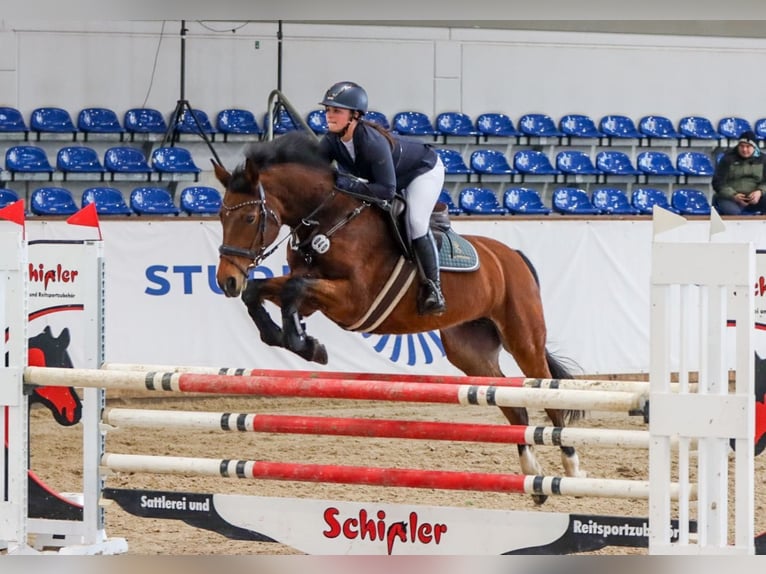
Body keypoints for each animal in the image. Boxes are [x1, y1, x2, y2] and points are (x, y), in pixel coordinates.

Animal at [212, 131, 584, 504]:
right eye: (220, 215)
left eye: (249, 219)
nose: (226, 280)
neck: (330, 218)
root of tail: (512, 256)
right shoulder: (313, 297)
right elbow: (262, 292)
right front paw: (298, 341)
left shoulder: (354, 301)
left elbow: (293, 290)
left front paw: (305, 343)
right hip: (470, 351)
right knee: (512, 404)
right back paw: (533, 477)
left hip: (523, 338)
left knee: (549, 396)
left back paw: (571, 469)